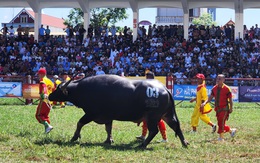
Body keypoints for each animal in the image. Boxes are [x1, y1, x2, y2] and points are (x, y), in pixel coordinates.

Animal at [49, 74, 189, 148]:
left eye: (58, 89)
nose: (50, 96)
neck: (81, 89)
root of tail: (164, 88)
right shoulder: (107, 116)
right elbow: (108, 128)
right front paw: (109, 140)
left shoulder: (91, 113)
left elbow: (79, 123)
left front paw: (75, 137)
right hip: (167, 115)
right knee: (176, 126)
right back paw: (184, 143)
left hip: (153, 116)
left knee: (154, 130)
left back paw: (143, 145)